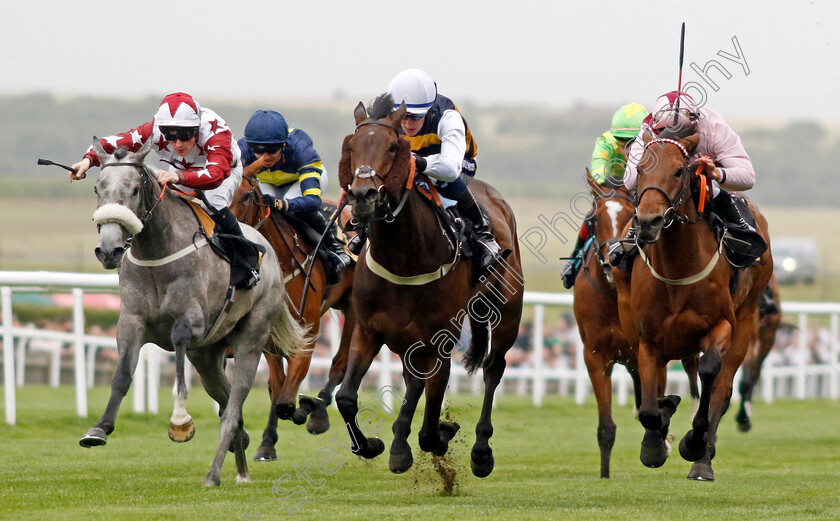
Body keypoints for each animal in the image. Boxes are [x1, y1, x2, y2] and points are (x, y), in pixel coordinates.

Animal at [78, 136, 308, 486]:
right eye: (97, 188)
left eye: (134, 189)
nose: (109, 250)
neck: (157, 254)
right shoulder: (131, 322)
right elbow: (122, 376)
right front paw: (99, 429)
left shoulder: (193, 323)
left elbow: (178, 345)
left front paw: (180, 421)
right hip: (208, 356)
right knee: (227, 402)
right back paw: (241, 466)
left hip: (251, 338)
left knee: (234, 405)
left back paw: (214, 473)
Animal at [230, 178, 358, 460]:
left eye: (245, 196)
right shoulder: (269, 336)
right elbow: (277, 387)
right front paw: (266, 442)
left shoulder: (307, 333)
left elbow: (287, 400)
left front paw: (306, 408)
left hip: (354, 308)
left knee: (340, 363)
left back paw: (318, 413)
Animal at [332, 95, 520, 478]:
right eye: (352, 146)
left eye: (392, 147)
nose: (362, 195)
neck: (404, 258)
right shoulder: (368, 329)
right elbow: (345, 397)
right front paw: (371, 445)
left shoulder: (441, 339)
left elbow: (429, 419)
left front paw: (422, 441)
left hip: (505, 313)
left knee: (493, 368)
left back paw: (481, 451)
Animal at [576, 171, 700, 480]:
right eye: (593, 219)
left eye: (629, 215)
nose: (611, 259)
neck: (612, 296)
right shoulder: (595, 356)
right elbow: (606, 427)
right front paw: (604, 474)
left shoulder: (655, 353)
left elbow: (657, 404)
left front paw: (662, 442)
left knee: (692, 372)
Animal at [612, 130, 772, 480]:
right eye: (640, 170)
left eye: (678, 171)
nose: (648, 222)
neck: (677, 269)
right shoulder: (647, 338)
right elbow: (648, 405)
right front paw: (654, 443)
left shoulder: (722, 325)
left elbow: (709, 375)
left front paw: (693, 442)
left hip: (747, 320)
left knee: (722, 391)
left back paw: (703, 461)